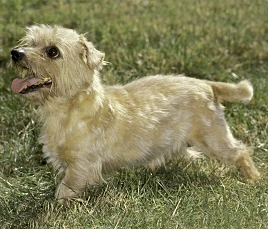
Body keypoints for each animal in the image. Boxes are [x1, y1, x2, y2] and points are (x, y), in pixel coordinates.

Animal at [10, 25, 260, 204]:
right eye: (30, 43)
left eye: (53, 51)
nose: (15, 53)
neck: (66, 110)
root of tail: (206, 84)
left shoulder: (82, 166)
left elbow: (65, 189)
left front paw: (56, 206)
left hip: (212, 138)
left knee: (240, 151)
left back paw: (253, 178)